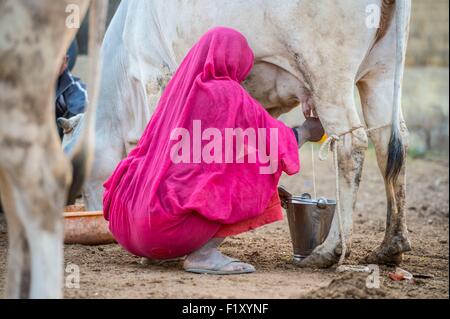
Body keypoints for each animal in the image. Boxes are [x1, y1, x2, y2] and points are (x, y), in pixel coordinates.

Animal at [62, 0, 412, 270]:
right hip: (382, 73)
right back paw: (390, 247)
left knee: (353, 143)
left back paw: (328, 251)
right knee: (391, 143)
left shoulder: (155, 73)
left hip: (328, 74)